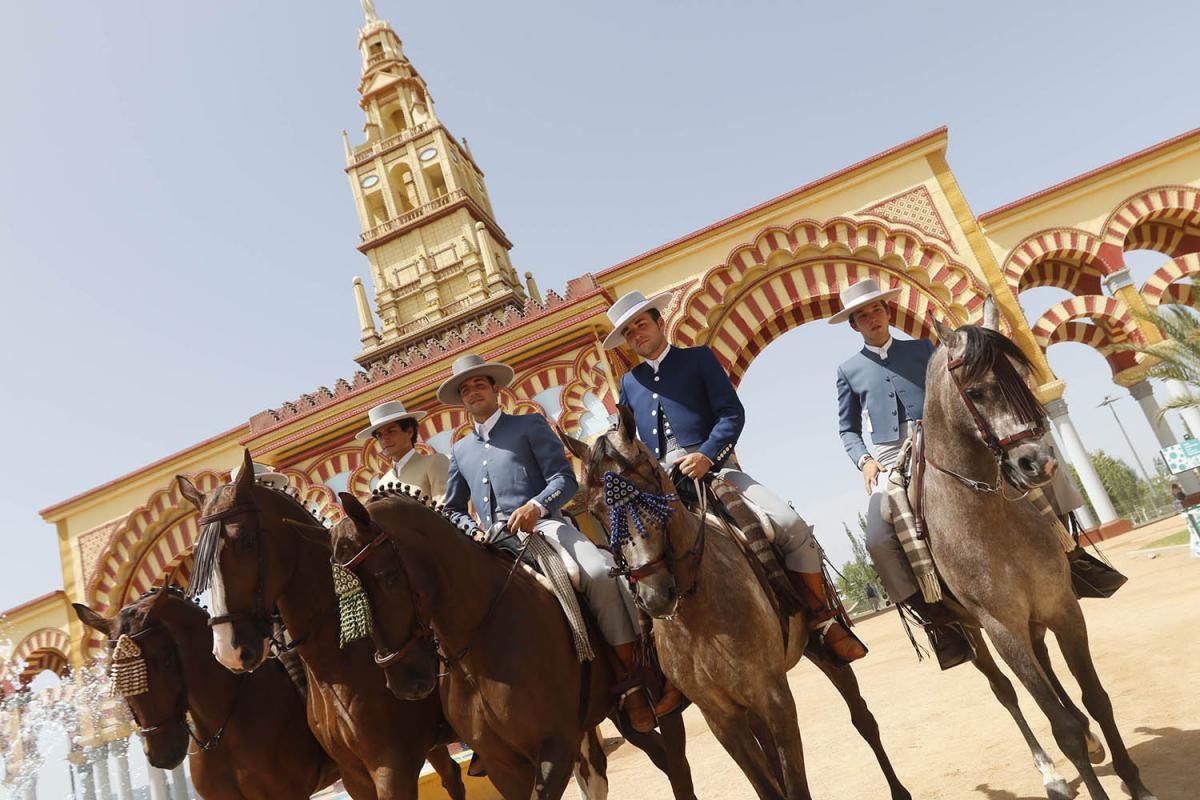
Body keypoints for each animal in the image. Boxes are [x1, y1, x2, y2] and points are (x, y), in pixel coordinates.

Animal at [177, 450, 468, 800]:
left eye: (245, 540)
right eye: (199, 558)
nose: (229, 650)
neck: (338, 668)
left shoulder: (392, 766)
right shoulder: (355, 776)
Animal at [300, 489, 696, 800]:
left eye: (387, 577)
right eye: (339, 595)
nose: (404, 681)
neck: (479, 650)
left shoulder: (555, 748)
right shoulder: (501, 762)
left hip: (660, 703)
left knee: (677, 767)